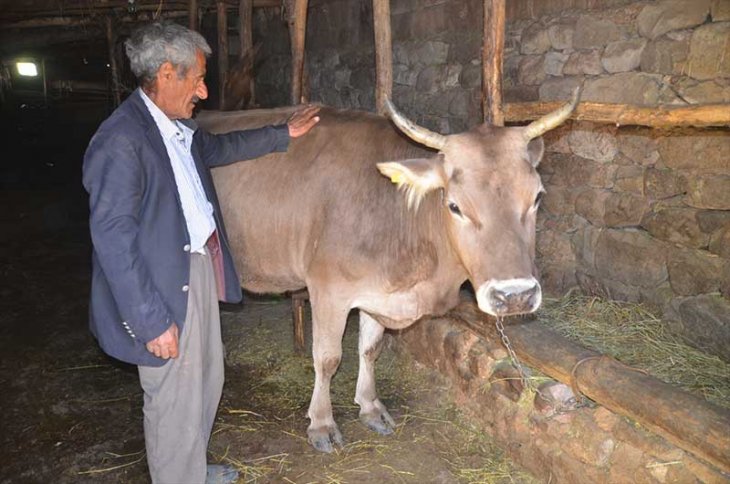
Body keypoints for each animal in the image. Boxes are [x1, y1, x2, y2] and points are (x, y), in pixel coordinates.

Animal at [195, 91, 580, 454]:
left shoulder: (377, 292)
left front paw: (370, 407)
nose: (515, 295)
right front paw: (322, 424)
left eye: (537, 197)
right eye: (454, 206)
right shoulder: (327, 289)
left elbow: (369, 348)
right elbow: (327, 357)